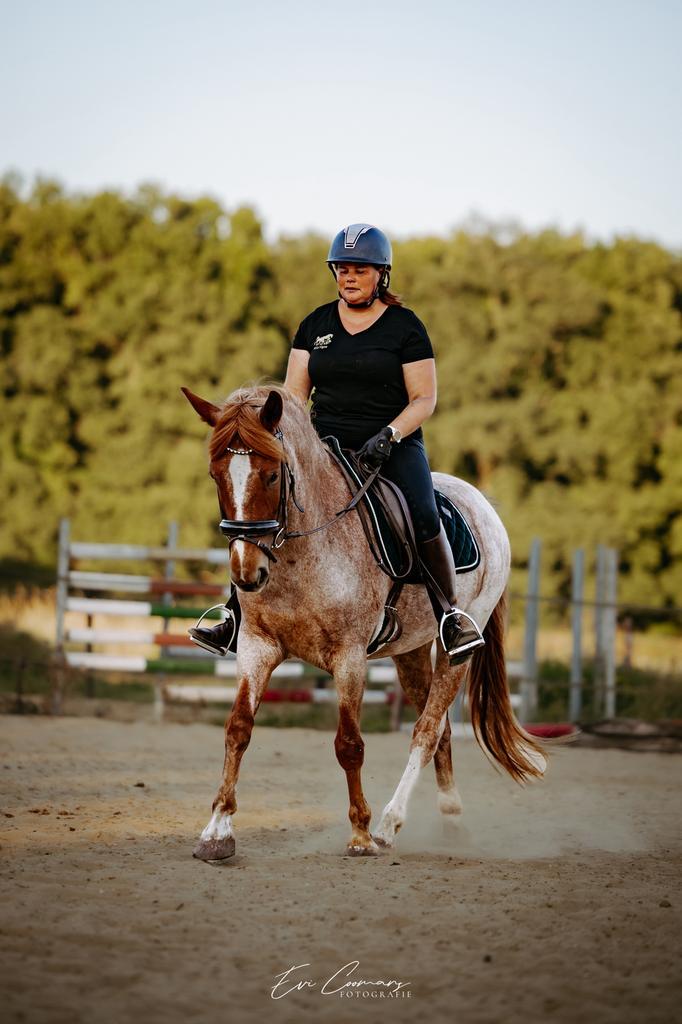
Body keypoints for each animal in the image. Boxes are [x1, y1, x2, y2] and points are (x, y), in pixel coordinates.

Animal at [182, 383, 545, 862]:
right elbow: (238, 729)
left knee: (427, 730)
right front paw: (217, 832)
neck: (301, 553)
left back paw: (389, 824)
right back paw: (450, 822)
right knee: (443, 731)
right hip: (411, 651)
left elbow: (349, 744)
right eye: (215, 475)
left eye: (273, 476)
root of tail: (484, 503)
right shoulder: (257, 647)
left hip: (458, 651)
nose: (247, 573)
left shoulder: (348, 657)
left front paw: (359, 834)